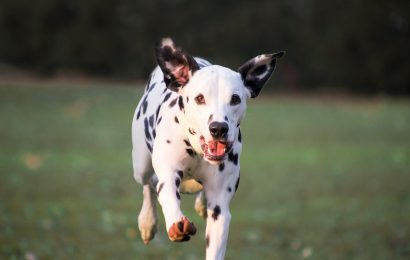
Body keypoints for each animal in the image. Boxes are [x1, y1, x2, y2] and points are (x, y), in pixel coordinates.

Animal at [132, 37, 286, 258]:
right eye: (199, 98)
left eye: (235, 99)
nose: (219, 128)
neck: (196, 149)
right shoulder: (169, 174)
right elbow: (167, 195)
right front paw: (175, 223)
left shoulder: (220, 210)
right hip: (141, 166)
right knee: (148, 184)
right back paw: (147, 222)